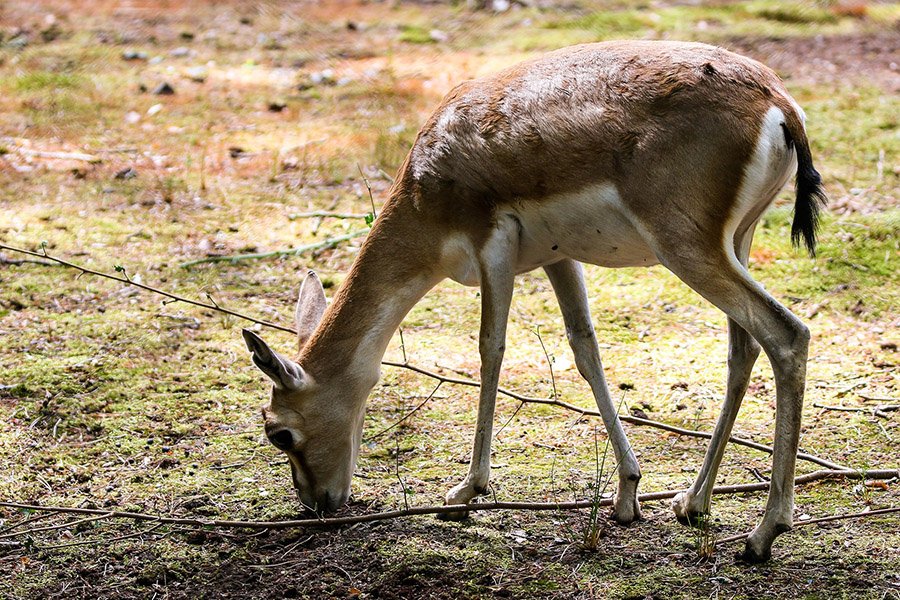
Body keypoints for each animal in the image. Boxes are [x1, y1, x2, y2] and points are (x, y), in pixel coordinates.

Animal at [242, 40, 826, 562]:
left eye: (279, 433)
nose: (316, 503)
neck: (431, 174)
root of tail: (777, 102)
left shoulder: (492, 246)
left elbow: (490, 350)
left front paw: (465, 493)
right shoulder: (557, 257)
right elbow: (585, 350)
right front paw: (628, 493)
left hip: (686, 248)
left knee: (787, 334)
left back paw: (762, 536)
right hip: (736, 243)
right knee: (743, 351)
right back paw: (694, 502)